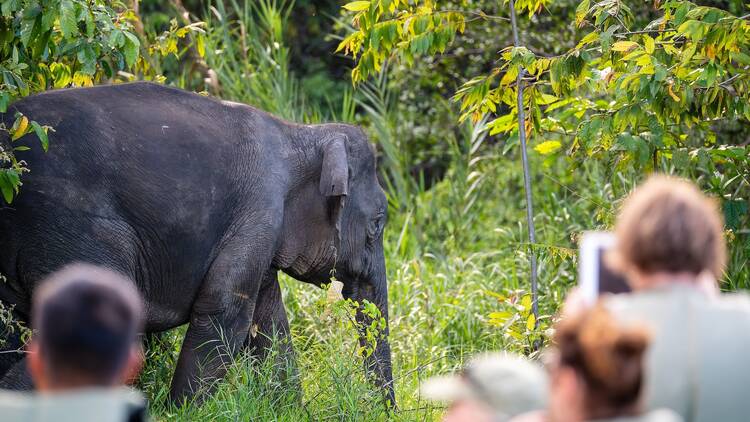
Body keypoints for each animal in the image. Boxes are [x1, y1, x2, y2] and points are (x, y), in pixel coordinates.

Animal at [0, 81, 396, 406]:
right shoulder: (259, 208)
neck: (299, 134)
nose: (383, 410)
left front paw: (290, 410)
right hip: (71, 225)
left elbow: (269, 321)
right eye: (377, 224)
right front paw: (181, 412)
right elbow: (225, 312)